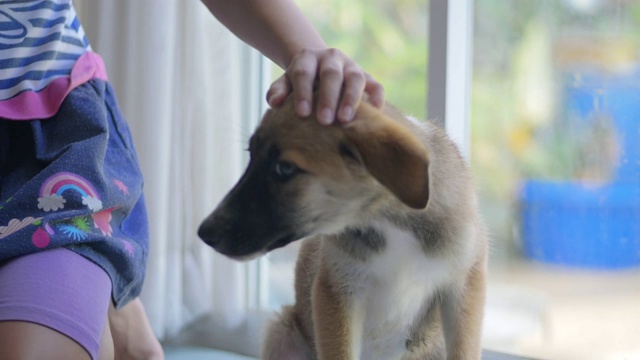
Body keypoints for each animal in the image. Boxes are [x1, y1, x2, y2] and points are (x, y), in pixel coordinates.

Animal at [198, 96, 488, 360]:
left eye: (285, 168)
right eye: (251, 156)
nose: (204, 233)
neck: (389, 224)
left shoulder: (463, 285)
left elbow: (464, 350)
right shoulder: (337, 291)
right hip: (281, 331)